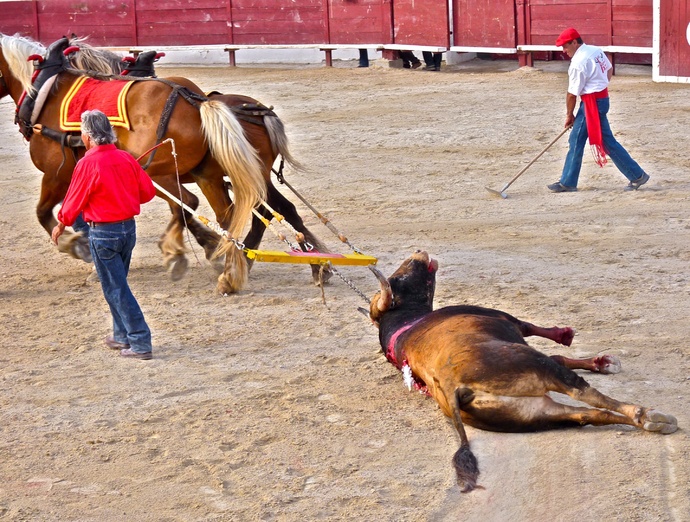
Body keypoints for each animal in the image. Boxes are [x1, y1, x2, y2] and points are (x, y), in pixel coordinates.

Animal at [368, 250, 678, 492]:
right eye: (400, 279)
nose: (418, 253)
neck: (405, 328)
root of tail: (453, 388)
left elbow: (559, 353)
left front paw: (602, 362)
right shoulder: (506, 319)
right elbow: (538, 333)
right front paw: (568, 336)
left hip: (537, 412)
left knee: (588, 415)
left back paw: (653, 422)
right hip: (535, 365)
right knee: (584, 392)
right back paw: (648, 414)